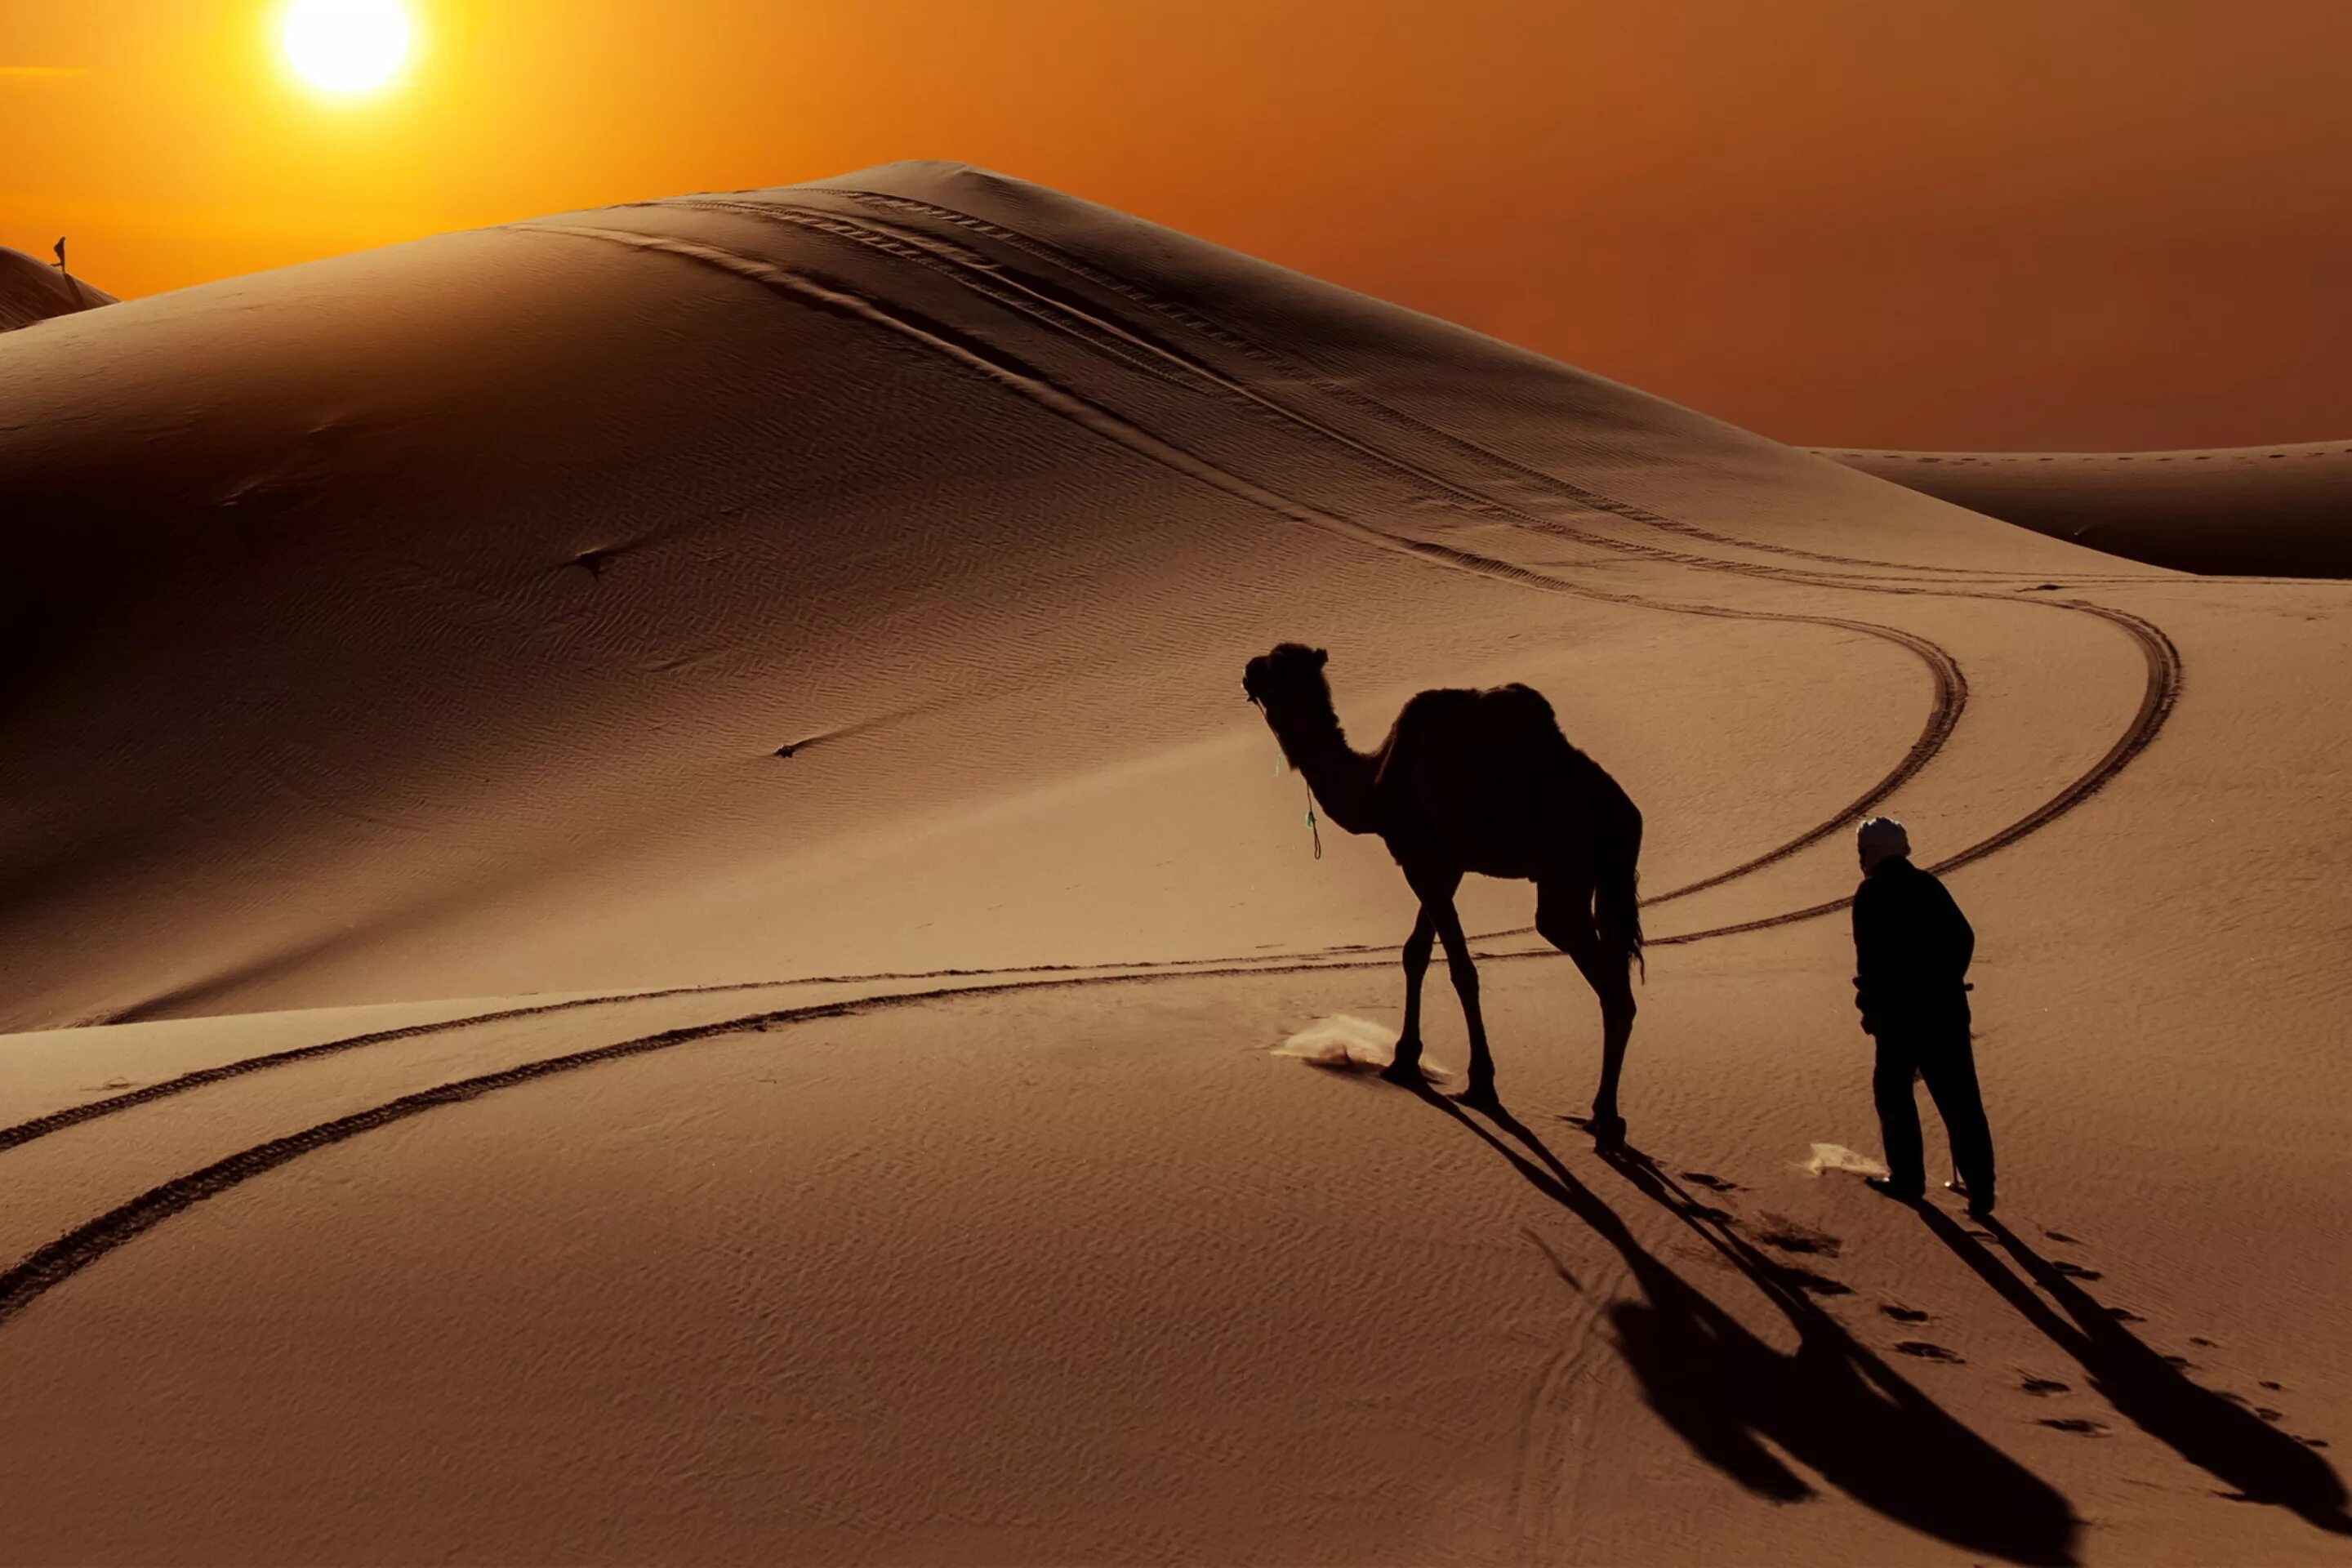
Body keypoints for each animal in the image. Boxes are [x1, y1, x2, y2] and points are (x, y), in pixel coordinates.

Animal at [1241, 644, 1646, 1133]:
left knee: (1600, 975)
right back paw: (1608, 1115)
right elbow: (1415, 953)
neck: (1376, 783)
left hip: (1565, 871)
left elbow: (1460, 969)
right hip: (1605, 878)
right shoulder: (1445, 866)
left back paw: (1603, 1114)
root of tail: (1624, 814)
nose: (1247, 670)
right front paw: (1404, 1060)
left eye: (1275, 666)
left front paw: (1481, 1082)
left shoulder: (1421, 858)